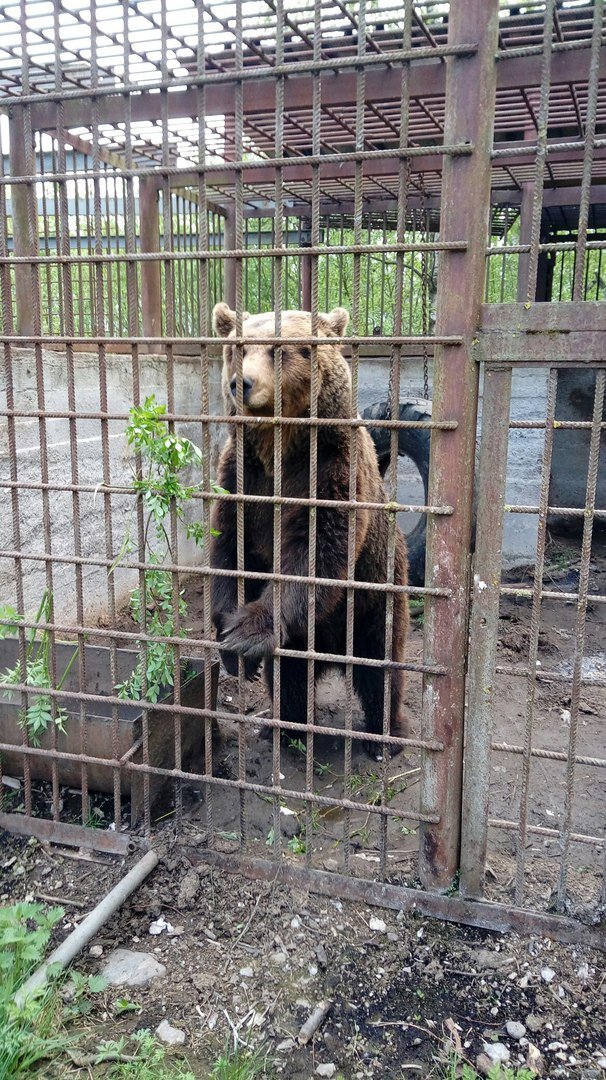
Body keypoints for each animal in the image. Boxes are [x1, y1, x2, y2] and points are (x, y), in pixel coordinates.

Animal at [210, 302, 408, 743]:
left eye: (281, 350)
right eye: (238, 348)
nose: (241, 383)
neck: (281, 449)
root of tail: (330, 654)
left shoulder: (332, 471)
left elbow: (316, 550)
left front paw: (247, 632)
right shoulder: (242, 477)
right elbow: (229, 548)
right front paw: (228, 642)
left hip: (375, 595)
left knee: (381, 666)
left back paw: (385, 737)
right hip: (304, 643)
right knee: (291, 678)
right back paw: (286, 728)